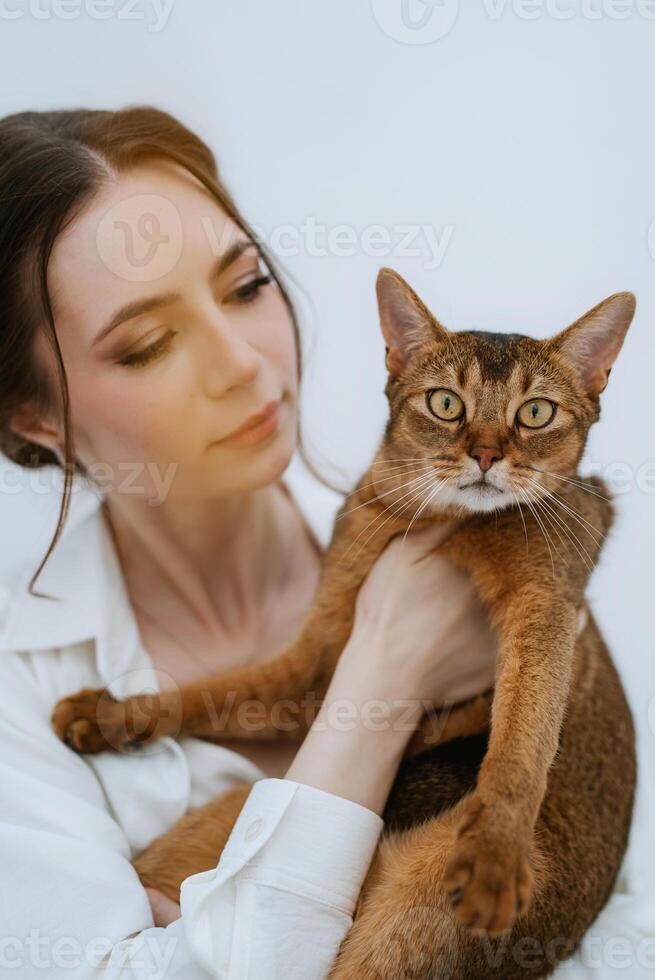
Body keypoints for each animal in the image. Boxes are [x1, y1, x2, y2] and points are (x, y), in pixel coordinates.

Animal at [53, 270, 640, 980]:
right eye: (446, 404)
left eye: (535, 413)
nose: (485, 455)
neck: (451, 526)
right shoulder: (320, 661)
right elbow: (212, 691)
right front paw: (106, 714)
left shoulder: (549, 601)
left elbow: (522, 741)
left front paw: (496, 854)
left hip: (414, 927)